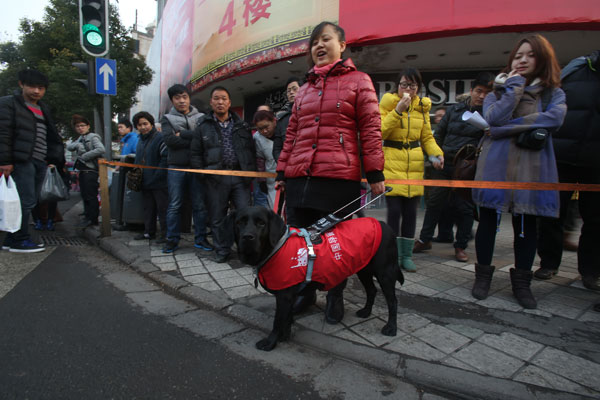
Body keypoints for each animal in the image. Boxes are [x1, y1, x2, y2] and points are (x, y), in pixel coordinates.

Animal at [232, 206, 406, 350]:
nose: (247, 237)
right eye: (240, 222)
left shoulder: (284, 296)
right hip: (363, 269)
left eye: (261, 223)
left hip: (384, 272)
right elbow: (287, 318)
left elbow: (277, 321)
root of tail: (384, 224)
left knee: (393, 301)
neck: (276, 248)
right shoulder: (288, 297)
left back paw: (391, 328)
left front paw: (270, 343)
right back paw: (366, 312)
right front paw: (285, 336)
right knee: (371, 290)